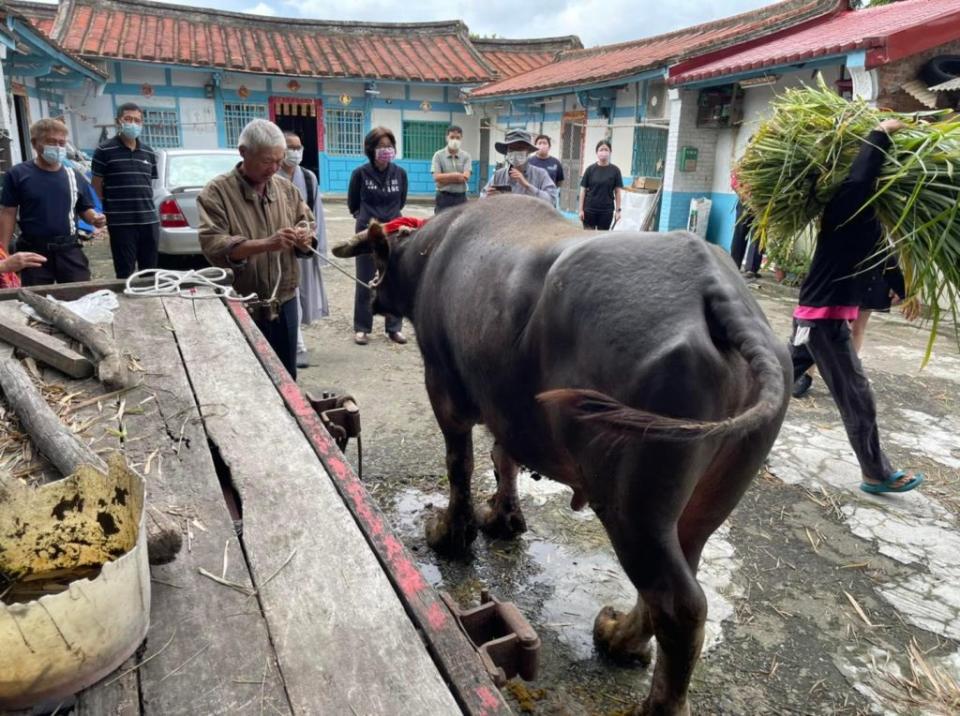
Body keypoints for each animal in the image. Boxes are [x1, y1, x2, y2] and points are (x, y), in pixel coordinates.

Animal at [334, 193, 792, 712]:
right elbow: (504, 460)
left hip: (633, 507)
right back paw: (619, 637)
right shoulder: (508, 407)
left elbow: (460, 465)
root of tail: (715, 291)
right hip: (706, 501)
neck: (433, 253)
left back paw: (654, 699)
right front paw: (503, 519)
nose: (374, 298)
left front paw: (450, 532)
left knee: (680, 604)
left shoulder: (445, 390)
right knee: (681, 572)